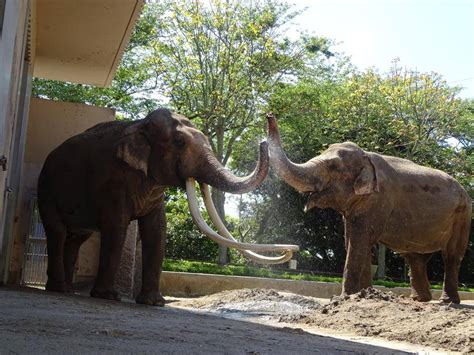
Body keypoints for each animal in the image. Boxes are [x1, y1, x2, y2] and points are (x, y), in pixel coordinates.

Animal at [39, 108, 296, 306]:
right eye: (179, 142)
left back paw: (68, 289)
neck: (139, 124)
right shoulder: (112, 180)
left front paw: (154, 303)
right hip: (46, 188)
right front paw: (108, 297)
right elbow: (117, 228)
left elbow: (157, 230)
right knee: (57, 232)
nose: (267, 122)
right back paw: (59, 289)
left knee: (76, 239)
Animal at [266, 113, 470, 304]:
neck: (366, 156)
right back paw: (419, 300)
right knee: (415, 257)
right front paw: (364, 295)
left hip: (463, 216)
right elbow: (354, 241)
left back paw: (447, 301)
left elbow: (359, 240)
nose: (269, 115)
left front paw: (344, 298)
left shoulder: (378, 200)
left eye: (333, 166)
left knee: (451, 256)